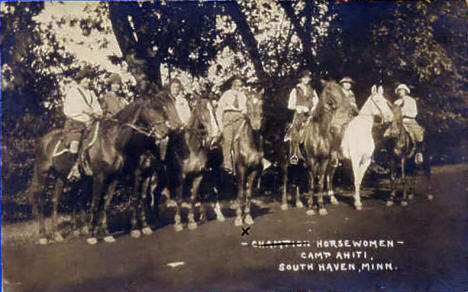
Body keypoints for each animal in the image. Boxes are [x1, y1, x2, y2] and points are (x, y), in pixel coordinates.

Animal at [165, 97, 223, 232]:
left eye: (213, 109)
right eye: (203, 110)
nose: (217, 132)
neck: (192, 148)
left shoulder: (198, 175)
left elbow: (193, 197)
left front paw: (191, 221)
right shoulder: (180, 176)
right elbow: (179, 198)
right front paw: (178, 222)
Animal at [282, 81, 354, 216]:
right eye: (329, 89)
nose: (347, 103)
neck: (320, 132)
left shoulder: (324, 160)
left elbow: (320, 183)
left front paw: (320, 206)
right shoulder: (311, 160)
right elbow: (311, 183)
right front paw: (311, 207)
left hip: (299, 164)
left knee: (297, 180)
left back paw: (298, 202)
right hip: (284, 162)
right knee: (285, 180)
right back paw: (284, 204)